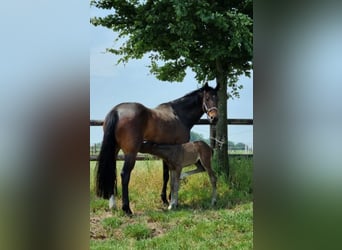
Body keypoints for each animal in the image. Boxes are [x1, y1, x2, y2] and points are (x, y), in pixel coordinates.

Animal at [95, 82, 218, 215]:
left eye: (217, 98)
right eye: (207, 98)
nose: (214, 118)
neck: (179, 115)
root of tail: (116, 111)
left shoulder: (167, 153)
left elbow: (166, 176)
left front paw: (166, 199)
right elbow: (170, 177)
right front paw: (170, 199)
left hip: (114, 150)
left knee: (111, 172)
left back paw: (113, 205)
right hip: (131, 153)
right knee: (125, 175)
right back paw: (127, 208)